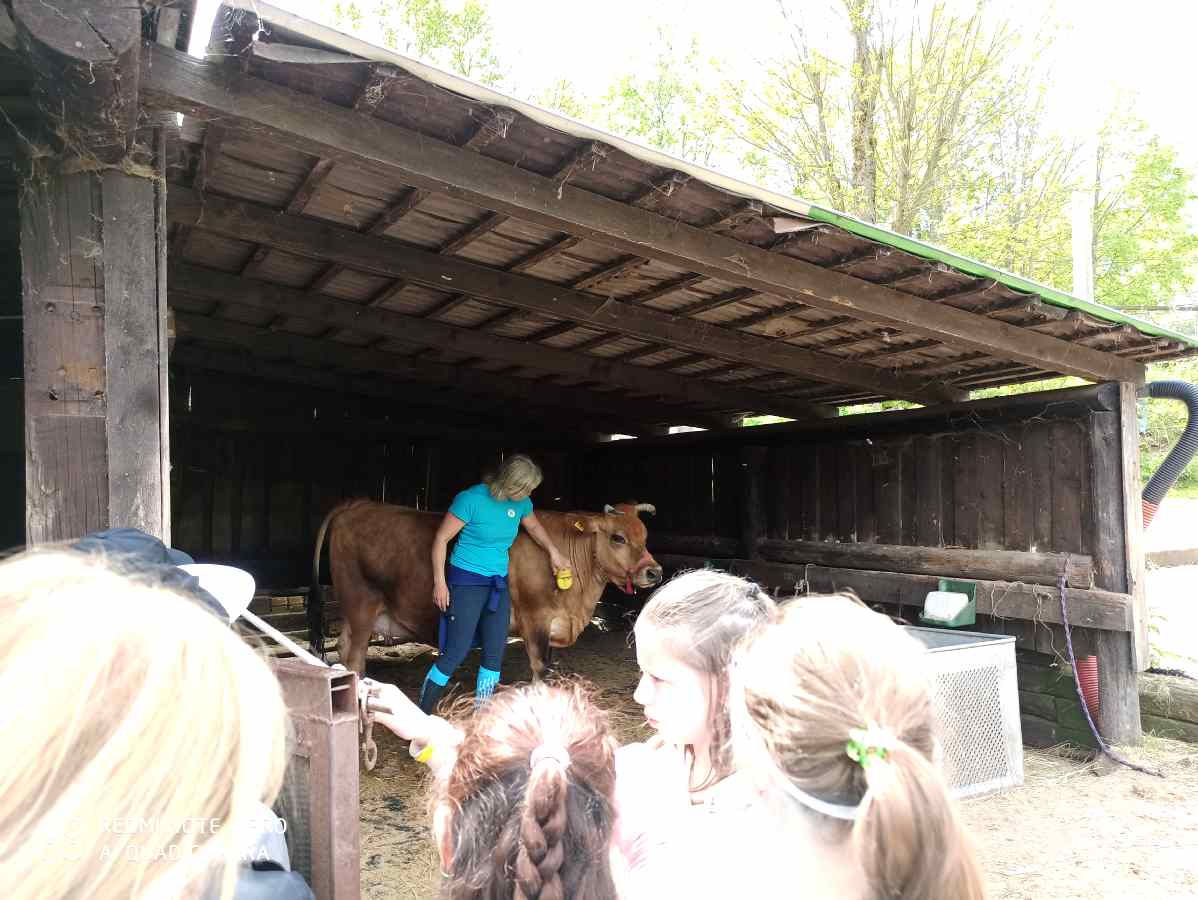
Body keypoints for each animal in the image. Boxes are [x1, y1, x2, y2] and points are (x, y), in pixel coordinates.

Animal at [310, 499, 662, 678]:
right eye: (618, 537)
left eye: (645, 535)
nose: (654, 572)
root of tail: (358, 504)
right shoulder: (535, 621)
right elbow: (541, 670)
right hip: (361, 605)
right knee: (355, 660)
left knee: (343, 650)